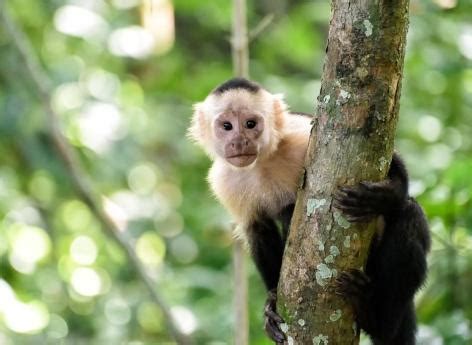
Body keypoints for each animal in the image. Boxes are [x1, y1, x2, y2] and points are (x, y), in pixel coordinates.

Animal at [187, 78, 428, 344]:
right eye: (227, 126)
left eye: (250, 124)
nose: (239, 141)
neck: (262, 162)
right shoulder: (224, 181)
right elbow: (258, 230)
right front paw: (271, 302)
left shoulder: (300, 135)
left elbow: (391, 160)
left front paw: (383, 196)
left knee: (410, 214)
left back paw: (377, 318)